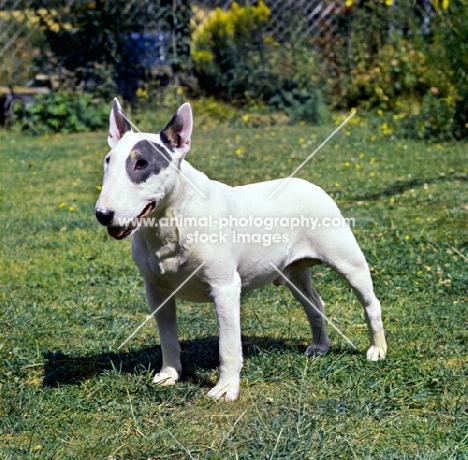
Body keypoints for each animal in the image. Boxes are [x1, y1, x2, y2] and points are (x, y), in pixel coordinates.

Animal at [96, 99, 388, 400]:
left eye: (142, 163)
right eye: (108, 160)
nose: (103, 215)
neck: (173, 217)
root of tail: (312, 186)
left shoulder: (224, 288)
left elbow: (227, 346)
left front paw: (225, 389)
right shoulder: (156, 291)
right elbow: (168, 338)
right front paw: (169, 374)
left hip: (347, 261)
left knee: (370, 302)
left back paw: (377, 349)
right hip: (293, 271)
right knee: (314, 303)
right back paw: (320, 346)